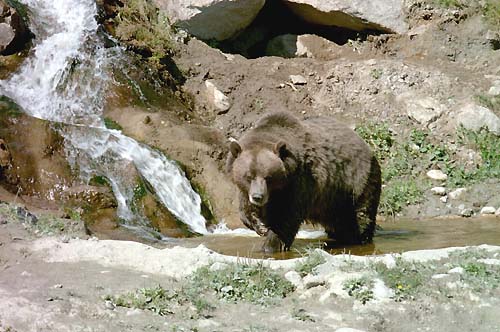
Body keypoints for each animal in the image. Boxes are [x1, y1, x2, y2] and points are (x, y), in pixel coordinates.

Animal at [228, 111, 382, 252]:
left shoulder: (300, 183)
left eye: (269, 177)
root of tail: (367, 146)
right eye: (248, 176)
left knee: (360, 216)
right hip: (332, 202)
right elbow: (246, 209)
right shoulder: (250, 191)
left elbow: (286, 219)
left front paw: (270, 246)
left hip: (356, 183)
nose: (258, 197)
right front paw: (260, 225)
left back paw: (359, 238)